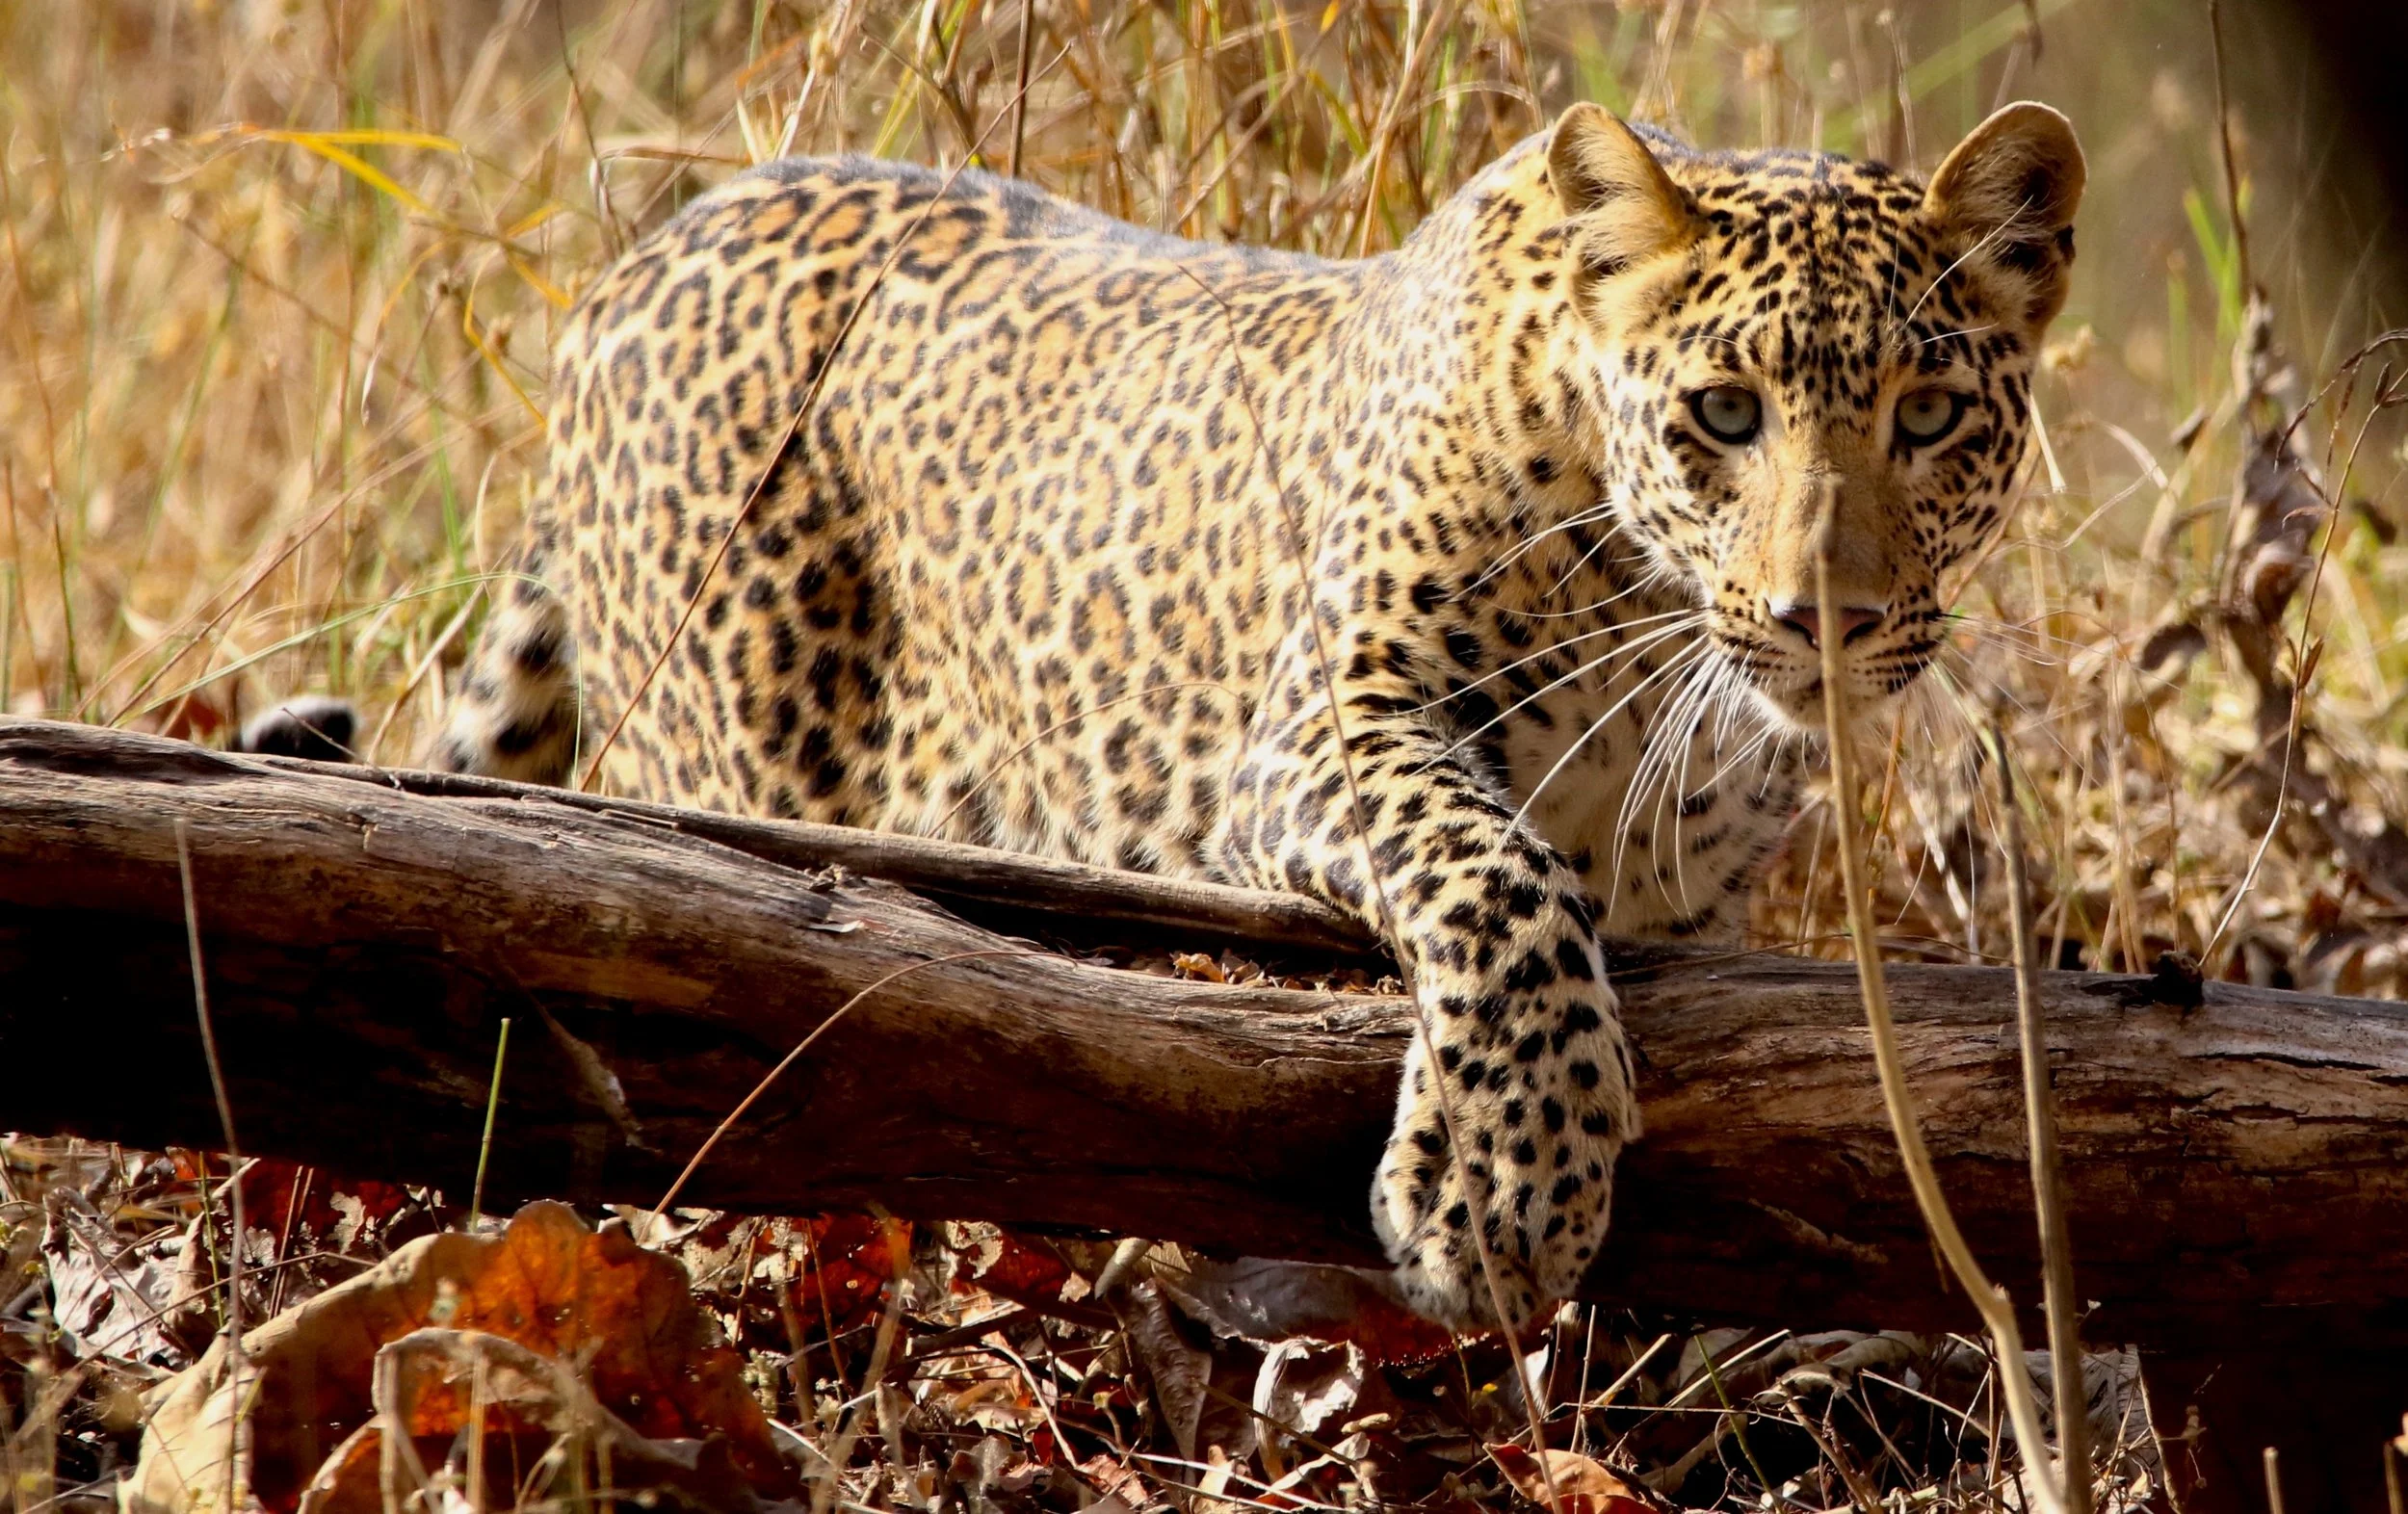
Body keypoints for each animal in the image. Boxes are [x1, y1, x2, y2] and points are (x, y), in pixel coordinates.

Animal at [409, 100, 2084, 1329]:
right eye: (1724, 415)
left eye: (1929, 416)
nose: (1826, 618)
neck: (1645, 643)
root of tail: (643, 254)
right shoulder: (1333, 725)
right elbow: (1501, 883)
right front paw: (1500, 1190)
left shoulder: (1689, 900)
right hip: (726, 762)